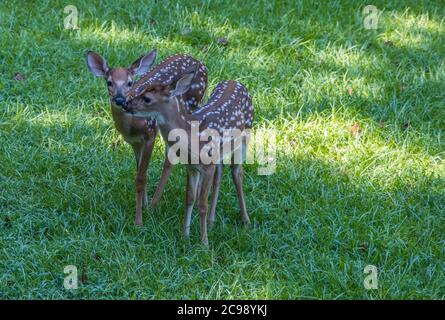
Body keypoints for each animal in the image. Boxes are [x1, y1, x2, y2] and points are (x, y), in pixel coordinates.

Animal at [86, 50, 208, 225]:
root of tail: (200, 62)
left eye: (130, 83)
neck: (131, 126)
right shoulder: (134, 142)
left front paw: (139, 220)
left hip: (192, 105)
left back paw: (156, 204)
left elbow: (141, 178)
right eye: (109, 82)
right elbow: (139, 173)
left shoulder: (150, 134)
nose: (120, 100)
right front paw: (142, 204)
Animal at [124, 66, 253, 244]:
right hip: (220, 152)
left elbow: (202, 204)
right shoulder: (191, 166)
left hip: (245, 136)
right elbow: (190, 198)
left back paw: (245, 220)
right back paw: (212, 221)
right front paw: (185, 235)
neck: (192, 137)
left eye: (147, 98)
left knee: (237, 173)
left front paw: (204, 242)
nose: (126, 104)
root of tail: (237, 82)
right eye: (143, 89)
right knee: (220, 175)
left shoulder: (207, 164)